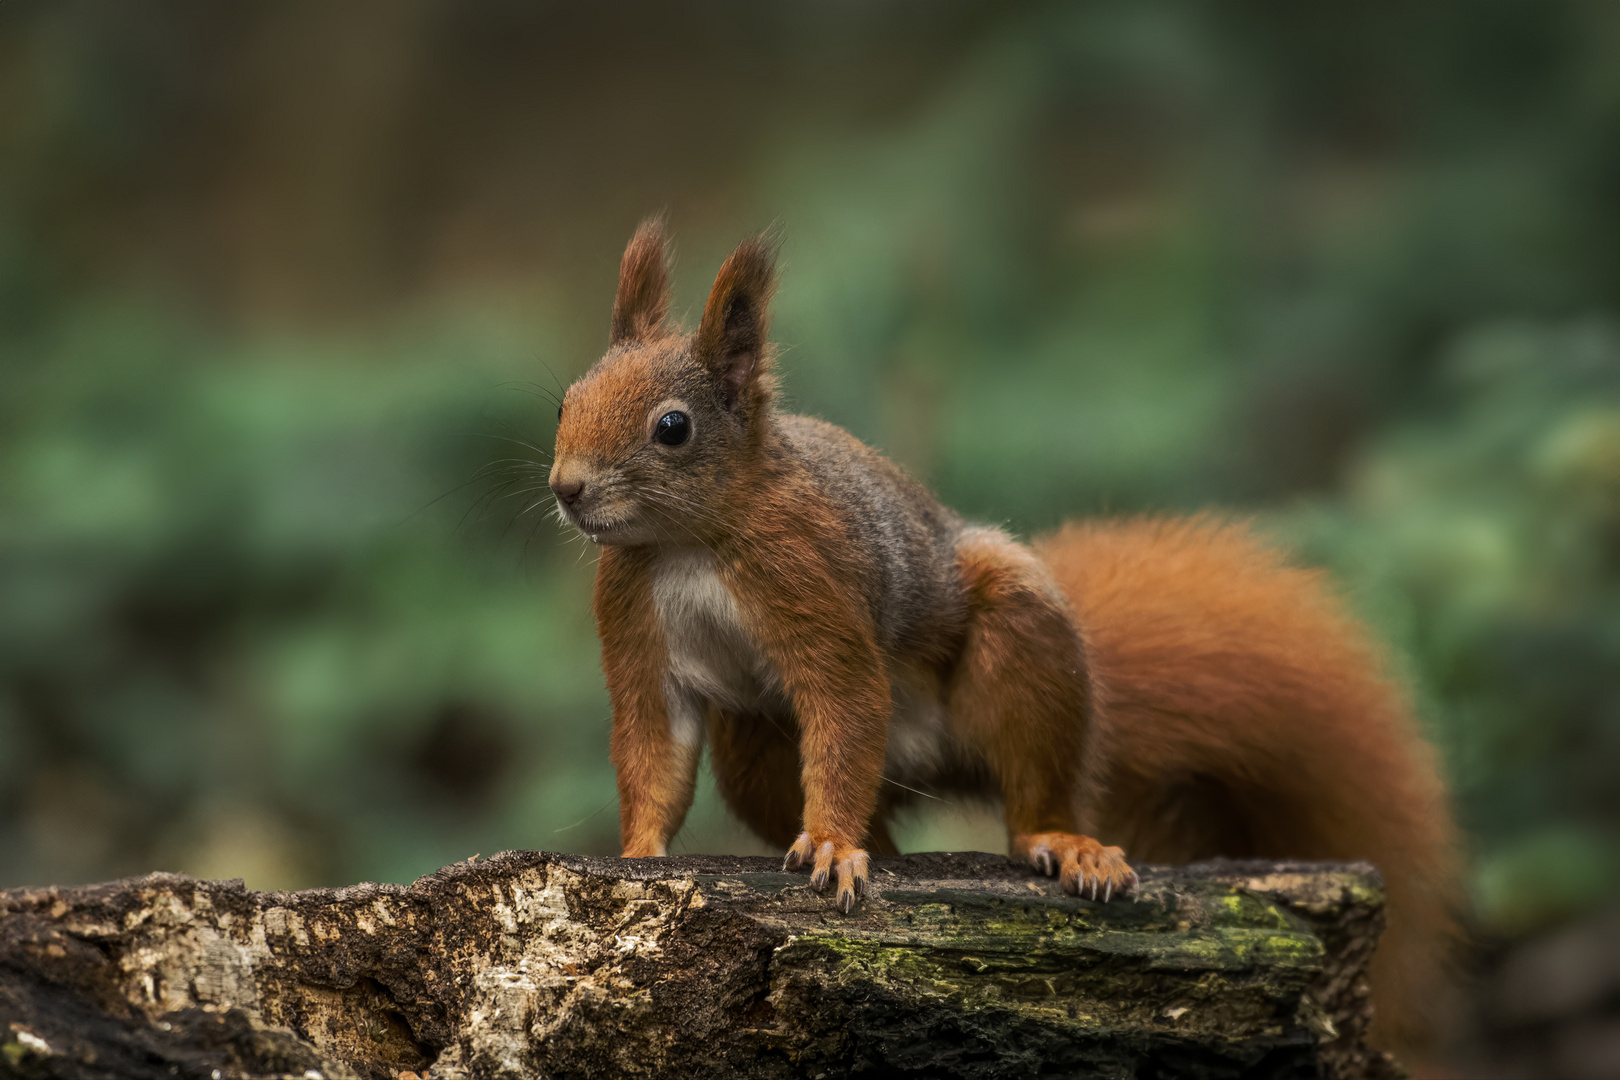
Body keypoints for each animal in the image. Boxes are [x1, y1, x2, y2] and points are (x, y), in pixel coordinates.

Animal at [550, 220, 1464, 1055]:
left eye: (672, 428)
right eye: (567, 399)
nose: (567, 489)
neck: (689, 542)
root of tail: (932, 759)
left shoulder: (809, 580)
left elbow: (846, 702)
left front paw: (836, 845)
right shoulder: (632, 619)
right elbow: (654, 749)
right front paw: (638, 856)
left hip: (1024, 653)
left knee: (1030, 791)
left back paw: (1057, 842)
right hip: (755, 743)